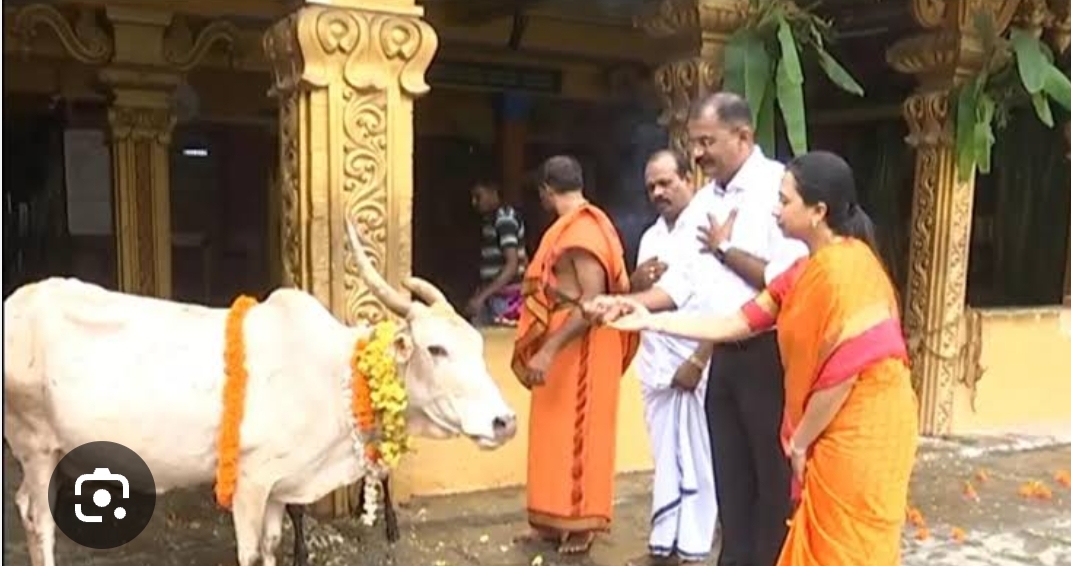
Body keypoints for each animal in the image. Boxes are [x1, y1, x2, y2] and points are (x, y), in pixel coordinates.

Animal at [3, 219, 518, 566]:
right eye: (437, 348)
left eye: (478, 346)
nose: (505, 421)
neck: (331, 374)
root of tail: (16, 303)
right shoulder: (250, 482)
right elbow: (251, 554)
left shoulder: (278, 489)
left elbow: (272, 549)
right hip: (34, 444)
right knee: (35, 516)